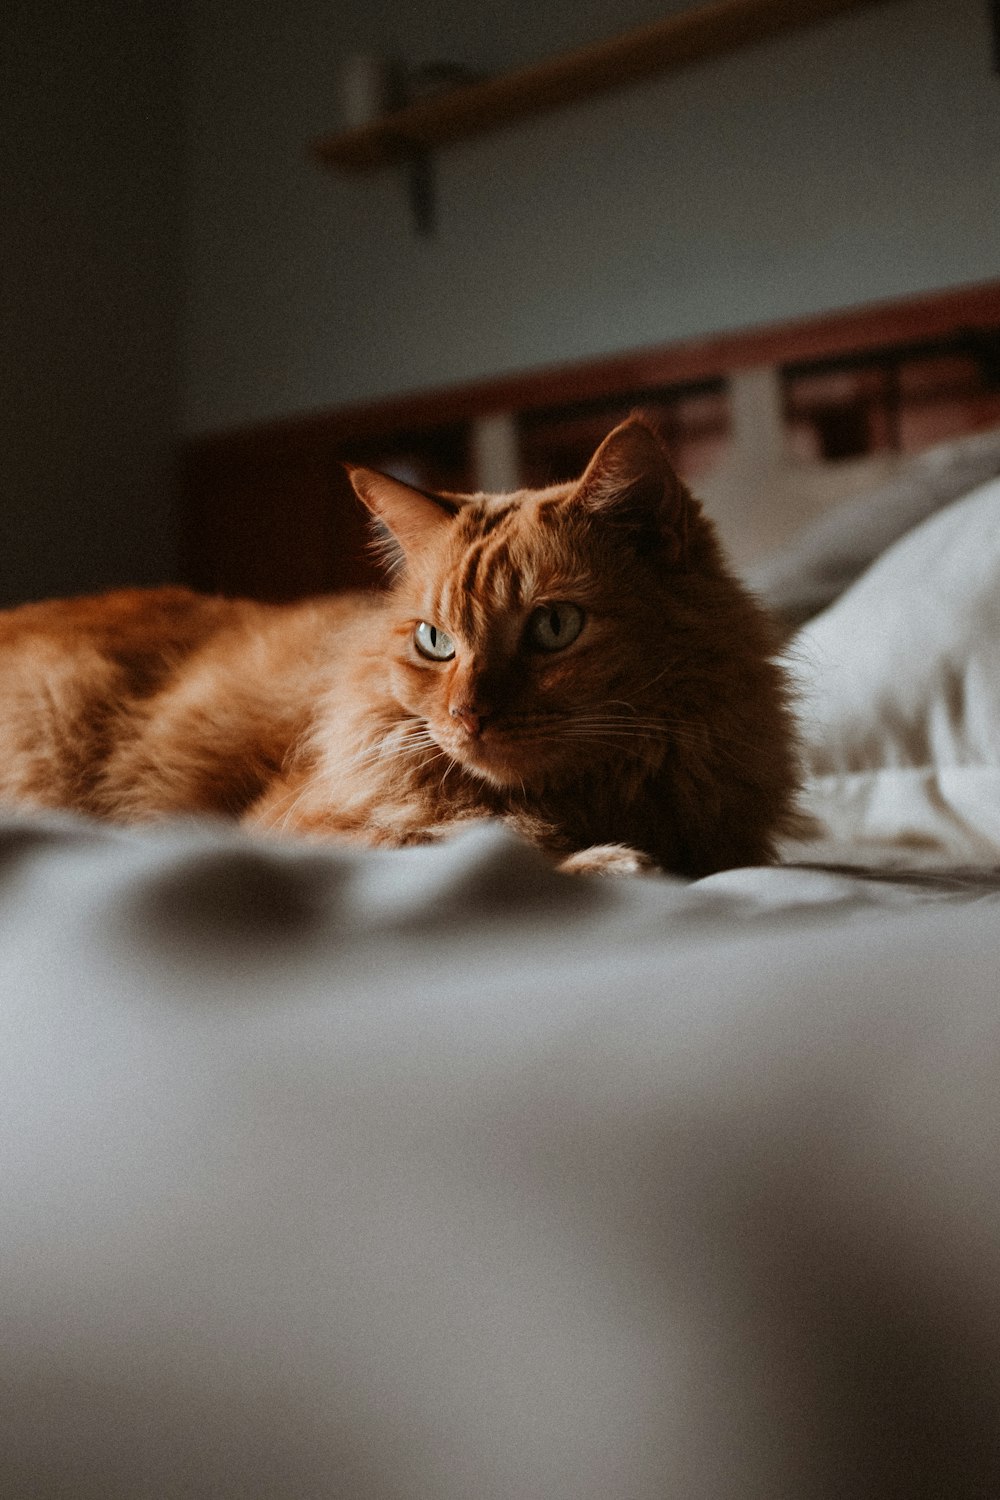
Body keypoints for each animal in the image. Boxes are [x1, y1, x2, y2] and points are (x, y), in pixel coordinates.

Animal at [0, 417, 797, 876]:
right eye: (434, 641)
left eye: (553, 628)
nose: (467, 716)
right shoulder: (291, 828)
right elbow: (465, 842)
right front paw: (602, 863)